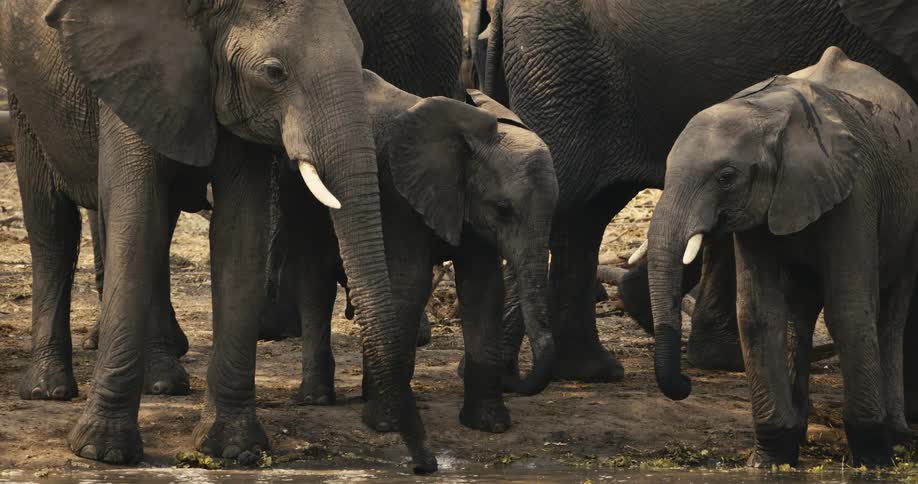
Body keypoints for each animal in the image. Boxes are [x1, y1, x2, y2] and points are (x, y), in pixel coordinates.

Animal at [1, 0, 434, 472]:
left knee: (159, 232)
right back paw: (49, 389)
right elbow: (135, 218)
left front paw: (235, 450)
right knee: (53, 227)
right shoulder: (133, 73)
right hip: (25, 97)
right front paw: (103, 452)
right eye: (274, 72)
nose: (422, 464)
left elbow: (240, 233)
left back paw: (162, 382)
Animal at [285, 71, 558, 433]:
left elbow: (483, 288)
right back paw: (317, 399)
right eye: (503, 210)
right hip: (303, 197)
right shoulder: (399, 195)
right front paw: (386, 423)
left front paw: (489, 425)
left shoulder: (467, 207)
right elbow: (409, 283)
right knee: (316, 281)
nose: (516, 379)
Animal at [648, 46, 918, 468]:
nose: (687, 384)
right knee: (798, 312)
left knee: (891, 313)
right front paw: (769, 460)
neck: (767, 114)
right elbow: (759, 314)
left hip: (907, 219)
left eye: (727, 176)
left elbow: (849, 310)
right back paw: (801, 432)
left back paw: (898, 438)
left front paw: (874, 460)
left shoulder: (857, 188)